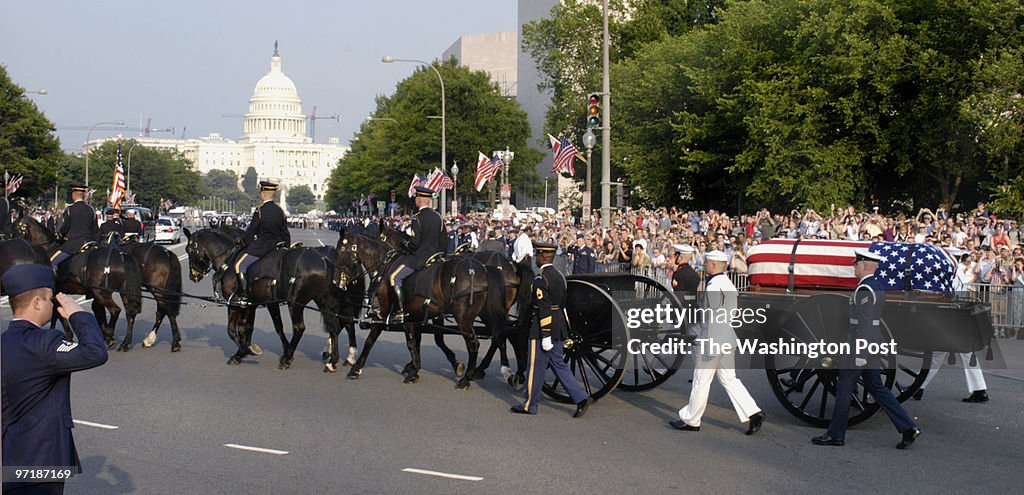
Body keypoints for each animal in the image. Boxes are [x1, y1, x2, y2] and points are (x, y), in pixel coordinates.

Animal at [14, 216, 141, 348]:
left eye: (16, 226)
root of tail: (121, 256)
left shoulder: (54, 293)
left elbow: (58, 313)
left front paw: (68, 336)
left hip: (101, 293)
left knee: (116, 310)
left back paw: (109, 334)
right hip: (121, 292)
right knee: (130, 313)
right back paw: (123, 342)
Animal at [333, 229, 497, 391]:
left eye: (340, 249)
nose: (335, 280)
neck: (386, 266)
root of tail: (479, 269)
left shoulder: (385, 314)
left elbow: (374, 340)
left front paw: (356, 368)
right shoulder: (415, 316)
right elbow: (419, 341)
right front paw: (415, 368)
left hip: (464, 319)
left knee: (474, 343)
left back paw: (467, 379)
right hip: (484, 316)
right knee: (496, 337)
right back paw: (478, 370)